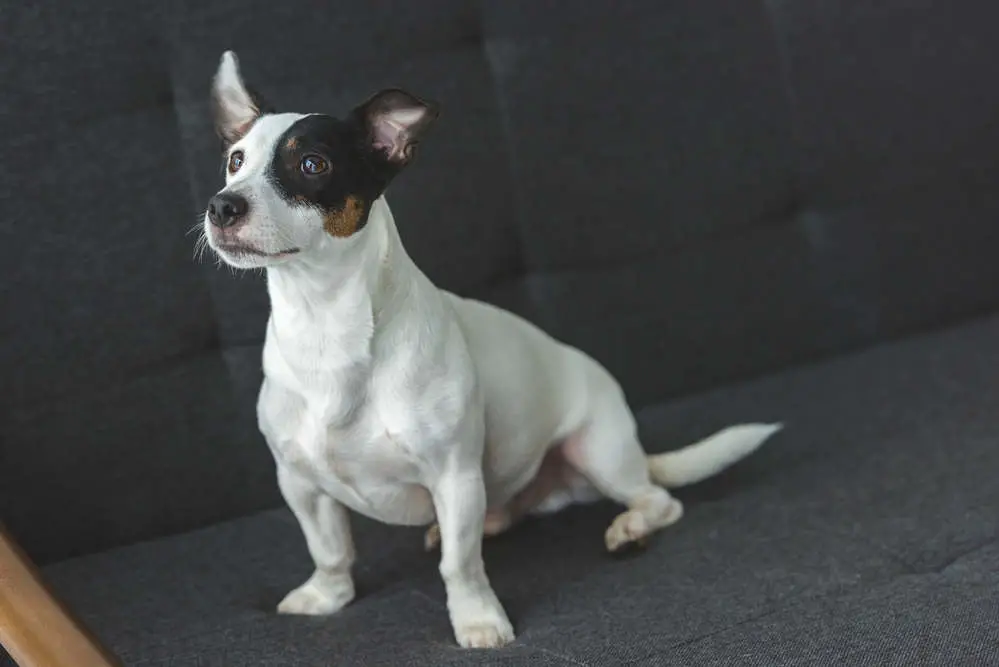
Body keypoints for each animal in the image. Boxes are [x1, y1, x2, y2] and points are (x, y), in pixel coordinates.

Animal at [201, 53, 780, 652]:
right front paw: (326, 596)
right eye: (235, 161)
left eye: (312, 164)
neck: (324, 324)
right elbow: (331, 550)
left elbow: (461, 565)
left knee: (658, 500)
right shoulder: (300, 484)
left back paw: (629, 527)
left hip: (599, 453)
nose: (222, 205)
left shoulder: (453, 475)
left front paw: (477, 619)